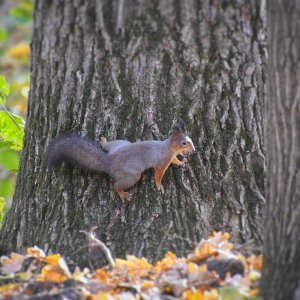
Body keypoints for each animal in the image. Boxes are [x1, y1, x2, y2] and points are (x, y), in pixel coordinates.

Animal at [44, 120, 195, 202]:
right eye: (183, 143)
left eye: (190, 139)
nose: (193, 149)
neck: (169, 147)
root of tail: (109, 160)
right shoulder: (162, 162)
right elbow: (158, 175)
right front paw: (159, 186)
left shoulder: (171, 157)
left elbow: (175, 161)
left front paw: (181, 162)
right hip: (132, 176)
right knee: (116, 185)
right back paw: (123, 194)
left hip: (121, 143)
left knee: (107, 146)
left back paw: (104, 142)